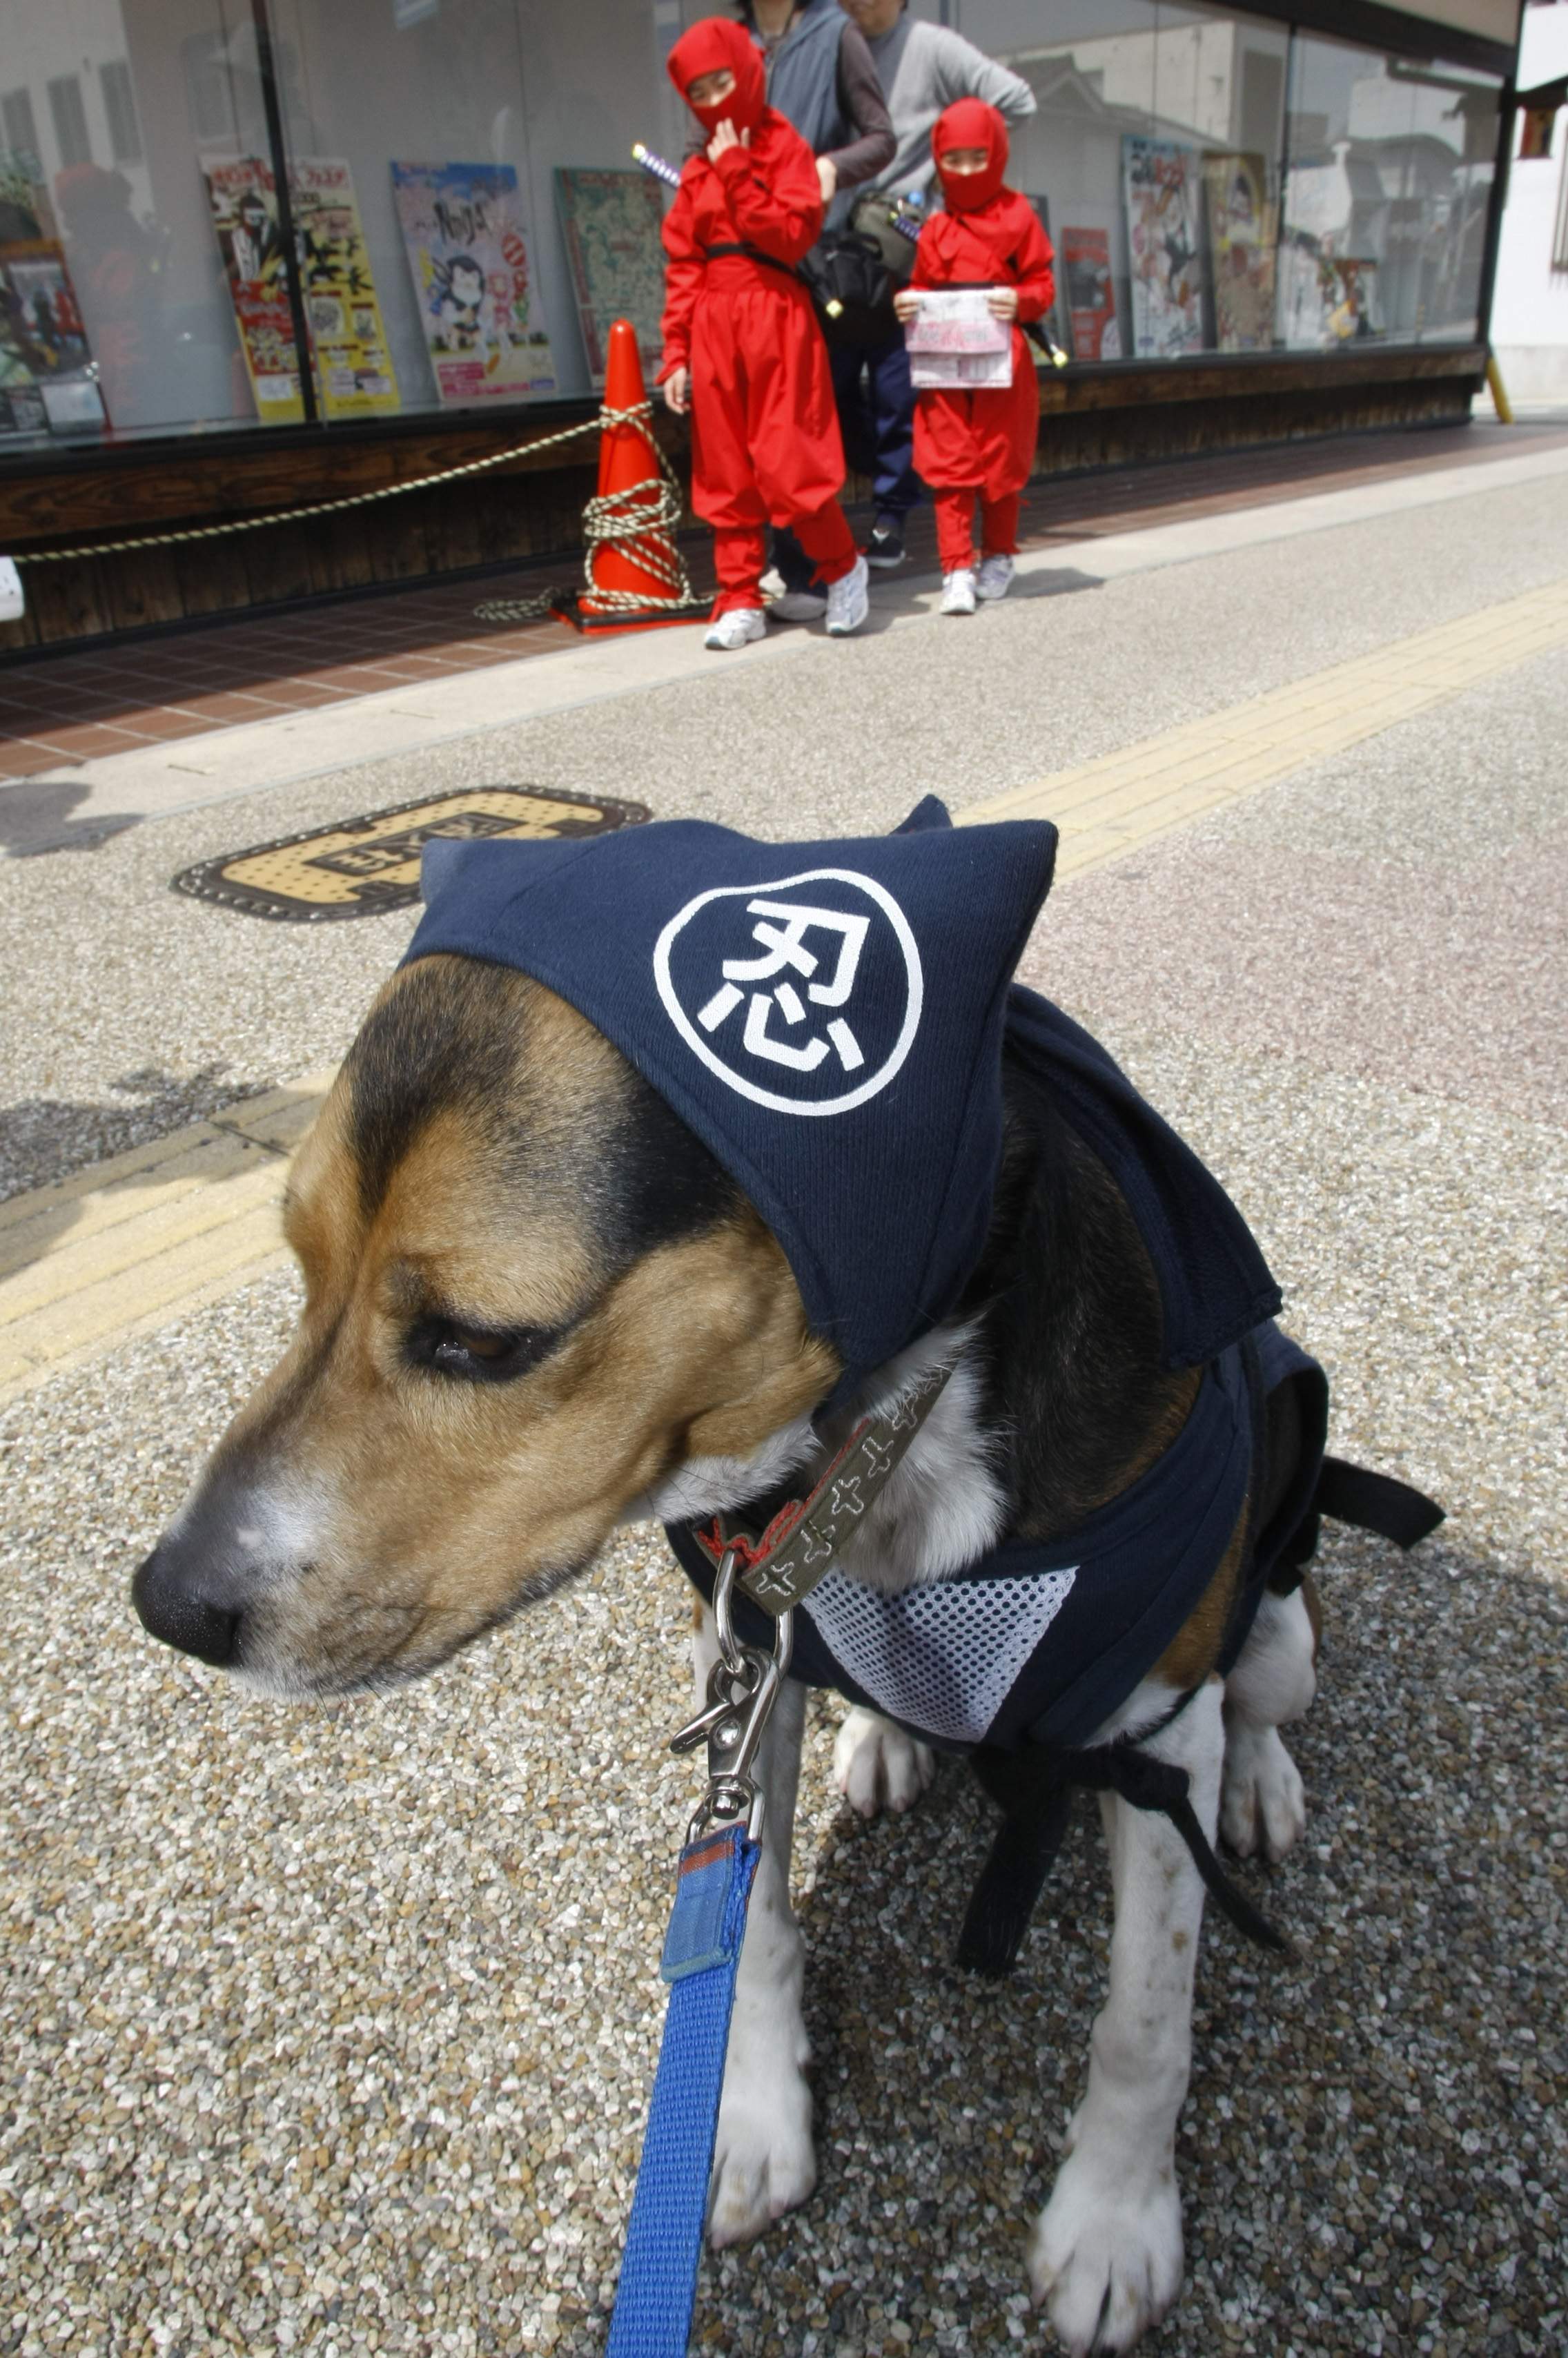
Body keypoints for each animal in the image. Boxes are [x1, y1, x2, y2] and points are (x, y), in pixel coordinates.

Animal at [134, 801, 1433, 2348]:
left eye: (480, 1339)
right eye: (298, 1269)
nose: (166, 1603)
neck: (882, 1437)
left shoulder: (1146, 1728)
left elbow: (1143, 2019)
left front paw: (1114, 2224)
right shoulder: (740, 1662)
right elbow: (741, 1925)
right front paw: (745, 2125)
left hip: (1270, 1604)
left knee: (1265, 1677)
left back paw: (1256, 1780)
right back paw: (889, 1737)